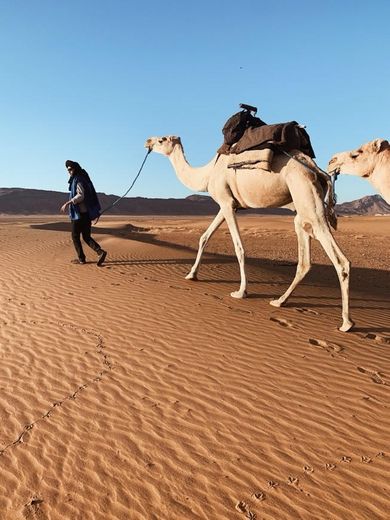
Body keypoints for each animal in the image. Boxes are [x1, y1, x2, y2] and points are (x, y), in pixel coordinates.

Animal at [145, 136, 354, 332]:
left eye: (161, 139)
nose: (147, 142)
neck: (208, 173)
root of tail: (316, 170)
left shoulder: (227, 202)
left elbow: (239, 247)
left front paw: (241, 292)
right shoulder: (228, 205)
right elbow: (204, 237)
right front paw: (191, 274)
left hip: (306, 195)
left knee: (339, 259)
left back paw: (346, 323)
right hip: (302, 207)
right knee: (304, 258)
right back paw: (279, 301)